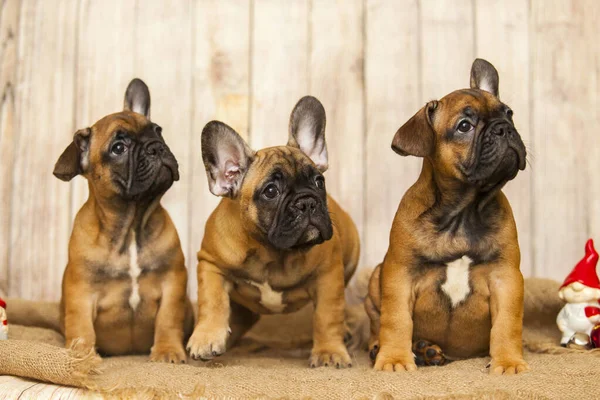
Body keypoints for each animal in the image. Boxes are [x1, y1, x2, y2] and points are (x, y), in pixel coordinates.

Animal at [53, 78, 193, 362]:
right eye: (119, 148)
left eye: (158, 131)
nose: (156, 146)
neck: (132, 224)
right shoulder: (80, 291)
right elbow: (81, 326)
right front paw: (83, 356)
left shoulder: (173, 281)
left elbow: (168, 318)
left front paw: (168, 351)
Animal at [186, 95, 360, 368]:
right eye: (271, 191)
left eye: (319, 181)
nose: (307, 202)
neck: (271, 252)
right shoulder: (210, 264)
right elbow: (212, 301)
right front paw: (206, 337)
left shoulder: (328, 276)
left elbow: (327, 316)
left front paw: (329, 351)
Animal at [366, 59, 528, 376]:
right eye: (464, 126)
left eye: (509, 113)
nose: (504, 128)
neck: (464, 210)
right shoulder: (399, 275)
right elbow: (396, 321)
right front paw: (394, 359)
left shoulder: (506, 278)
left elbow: (507, 324)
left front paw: (508, 362)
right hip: (375, 279)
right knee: (376, 327)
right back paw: (404, 349)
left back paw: (426, 350)